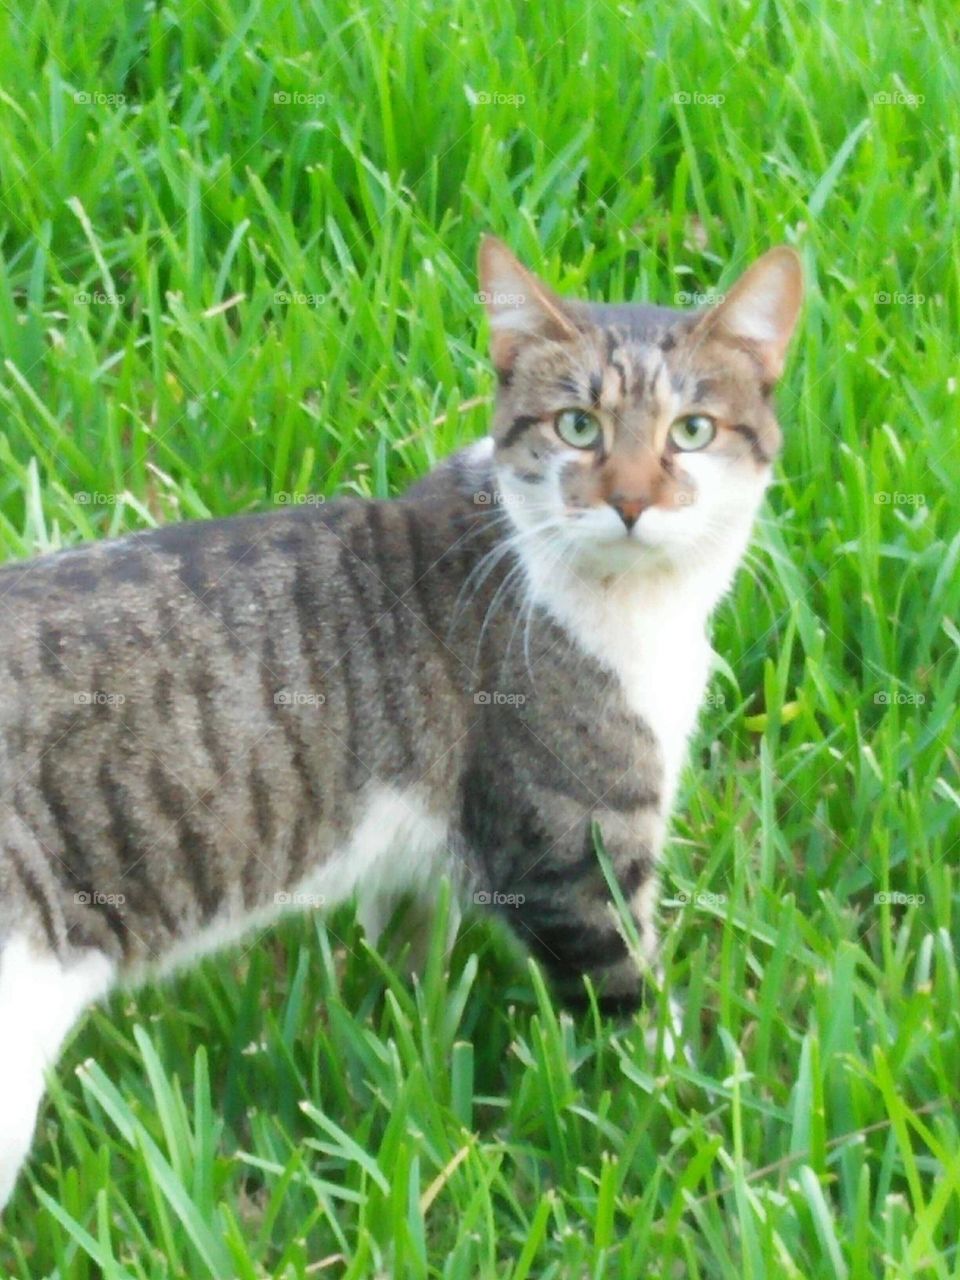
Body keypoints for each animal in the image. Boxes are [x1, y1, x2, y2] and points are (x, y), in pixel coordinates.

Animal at [0, 240, 803, 1208]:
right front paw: (703, 1127)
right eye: (578, 427)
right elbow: (635, 1009)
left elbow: (407, 962)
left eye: (692, 432)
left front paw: (403, 1042)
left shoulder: (423, 867)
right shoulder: (569, 855)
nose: (631, 500)